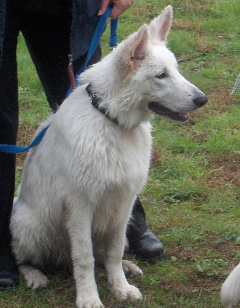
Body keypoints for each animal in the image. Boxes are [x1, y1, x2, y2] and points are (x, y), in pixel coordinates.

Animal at [10, 5, 207, 308]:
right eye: (161, 75)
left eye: (175, 69)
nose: (202, 100)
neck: (111, 120)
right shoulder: (80, 207)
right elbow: (84, 258)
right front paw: (89, 297)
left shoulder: (124, 204)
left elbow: (113, 252)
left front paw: (120, 286)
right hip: (33, 227)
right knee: (22, 258)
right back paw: (34, 276)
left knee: (106, 253)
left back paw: (127, 267)